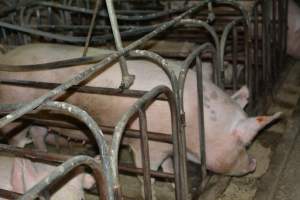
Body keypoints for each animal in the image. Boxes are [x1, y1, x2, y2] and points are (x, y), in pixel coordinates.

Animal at [0, 43, 280, 177]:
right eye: (244, 143)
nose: (254, 163)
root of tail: (6, 58)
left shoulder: (168, 145)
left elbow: (169, 165)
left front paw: (172, 175)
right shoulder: (149, 144)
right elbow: (153, 167)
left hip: (43, 115)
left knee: (37, 133)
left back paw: (44, 154)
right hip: (17, 109)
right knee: (17, 139)